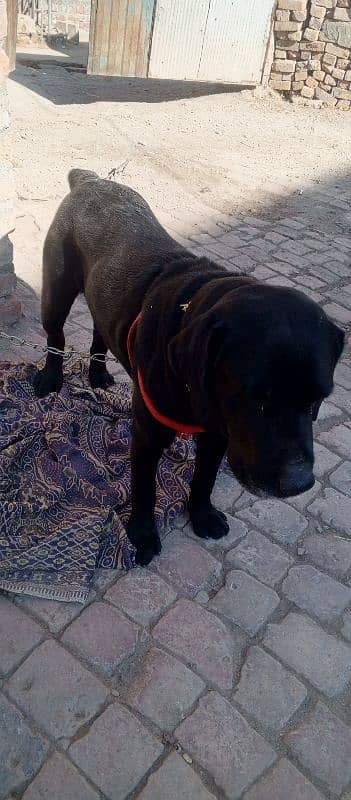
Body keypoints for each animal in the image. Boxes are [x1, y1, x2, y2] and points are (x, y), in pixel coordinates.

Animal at [34, 172, 346, 564]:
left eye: (317, 399)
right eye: (256, 399)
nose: (298, 484)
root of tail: (89, 180)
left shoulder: (218, 435)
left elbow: (205, 478)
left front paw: (202, 514)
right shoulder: (148, 434)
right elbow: (145, 489)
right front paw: (142, 535)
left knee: (99, 331)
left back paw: (99, 375)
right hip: (57, 291)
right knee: (56, 337)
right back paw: (51, 377)